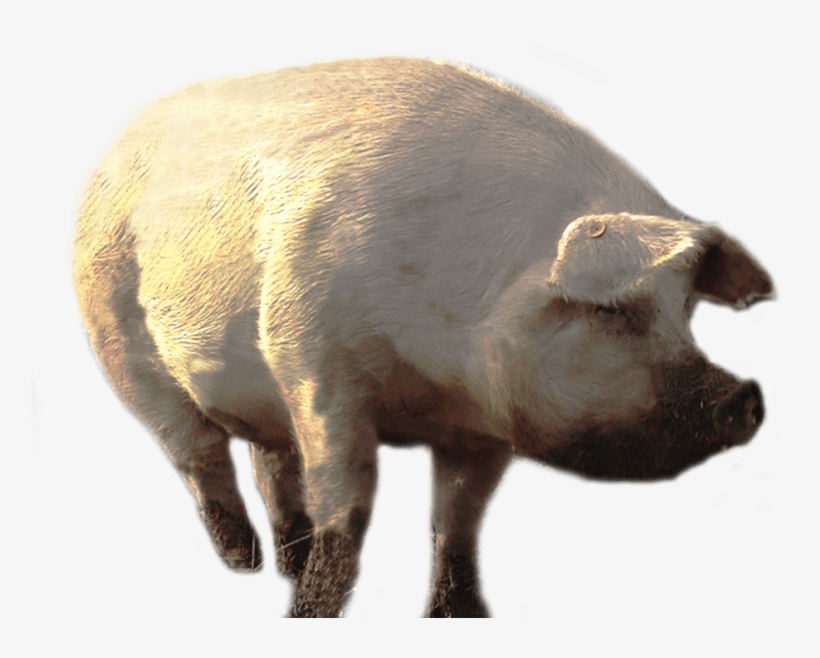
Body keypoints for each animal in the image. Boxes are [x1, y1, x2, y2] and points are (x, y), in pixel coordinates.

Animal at [73, 57, 773, 618]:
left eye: (685, 308)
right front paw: (310, 615)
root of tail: (117, 145)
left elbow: (458, 521)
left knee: (269, 460)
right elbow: (348, 500)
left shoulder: (481, 429)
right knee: (199, 456)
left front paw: (460, 616)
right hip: (118, 340)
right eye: (609, 311)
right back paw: (245, 566)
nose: (746, 397)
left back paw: (286, 562)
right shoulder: (313, 361)